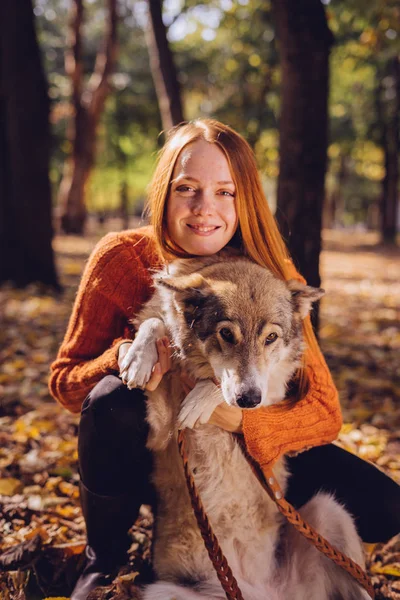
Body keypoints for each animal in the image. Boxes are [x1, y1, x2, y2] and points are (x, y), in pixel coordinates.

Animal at [122, 253, 368, 600]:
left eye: (271, 338)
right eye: (226, 334)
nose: (248, 399)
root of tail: (263, 592)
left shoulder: (271, 391)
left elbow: (228, 388)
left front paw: (202, 399)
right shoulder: (159, 430)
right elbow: (155, 324)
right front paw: (139, 357)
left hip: (331, 512)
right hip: (162, 592)